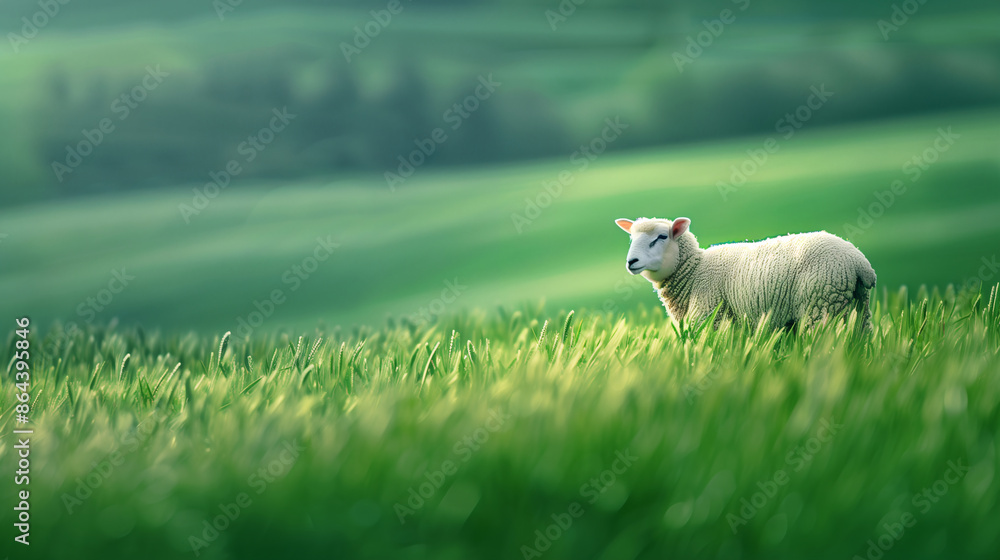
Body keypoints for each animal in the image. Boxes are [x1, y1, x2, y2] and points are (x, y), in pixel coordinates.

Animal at [614, 216, 877, 329]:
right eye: (631, 238)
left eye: (661, 237)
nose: (631, 261)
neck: (695, 270)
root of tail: (859, 262)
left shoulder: (710, 316)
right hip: (858, 305)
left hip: (820, 304)